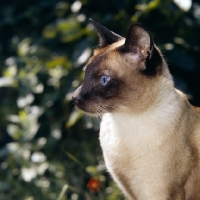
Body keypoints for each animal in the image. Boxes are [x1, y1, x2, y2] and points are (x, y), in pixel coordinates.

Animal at [72, 18, 200, 199]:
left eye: (104, 80)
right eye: (85, 75)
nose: (74, 97)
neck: (124, 121)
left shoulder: (159, 193)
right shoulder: (131, 192)